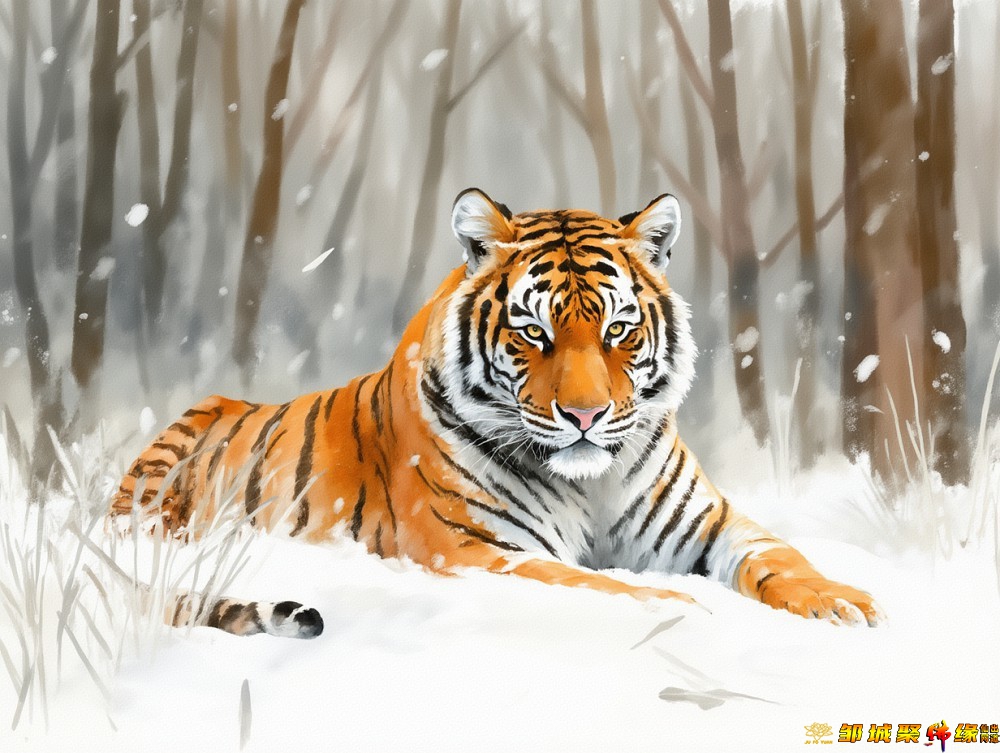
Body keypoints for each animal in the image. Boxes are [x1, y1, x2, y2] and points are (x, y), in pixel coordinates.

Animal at [110, 188, 883, 638]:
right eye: (533, 332)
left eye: (618, 330)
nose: (585, 415)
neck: (590, 483)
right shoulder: (475, 549)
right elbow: (594, 583)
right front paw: (686, 610)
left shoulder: (710, 523)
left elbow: (782, 555)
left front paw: (843, 603)